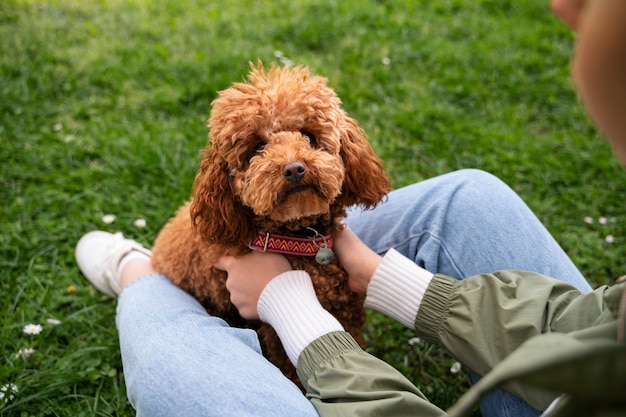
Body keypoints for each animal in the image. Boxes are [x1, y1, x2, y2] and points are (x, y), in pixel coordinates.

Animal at [151, 62, 390, 386]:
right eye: (258, 146)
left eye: (309, 136)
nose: (294, 169)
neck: (299, 237)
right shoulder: (278, 337)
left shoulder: (346, 308)